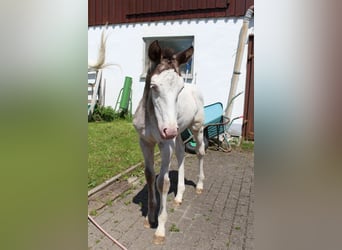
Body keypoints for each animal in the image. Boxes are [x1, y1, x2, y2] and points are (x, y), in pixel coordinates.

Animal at [132, 40, 204, 244]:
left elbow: (162, 182)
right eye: (154, 86)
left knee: (200, 152)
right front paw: (150, 217)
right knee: (181, 154)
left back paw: (200, 185)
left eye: (180, 89)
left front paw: (160, 229)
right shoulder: (145, 142)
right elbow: (149, 175)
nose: (169, 130)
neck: (151, 117)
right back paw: (179, 195)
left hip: (195, 128)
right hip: (178, 133)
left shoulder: (165, 144)